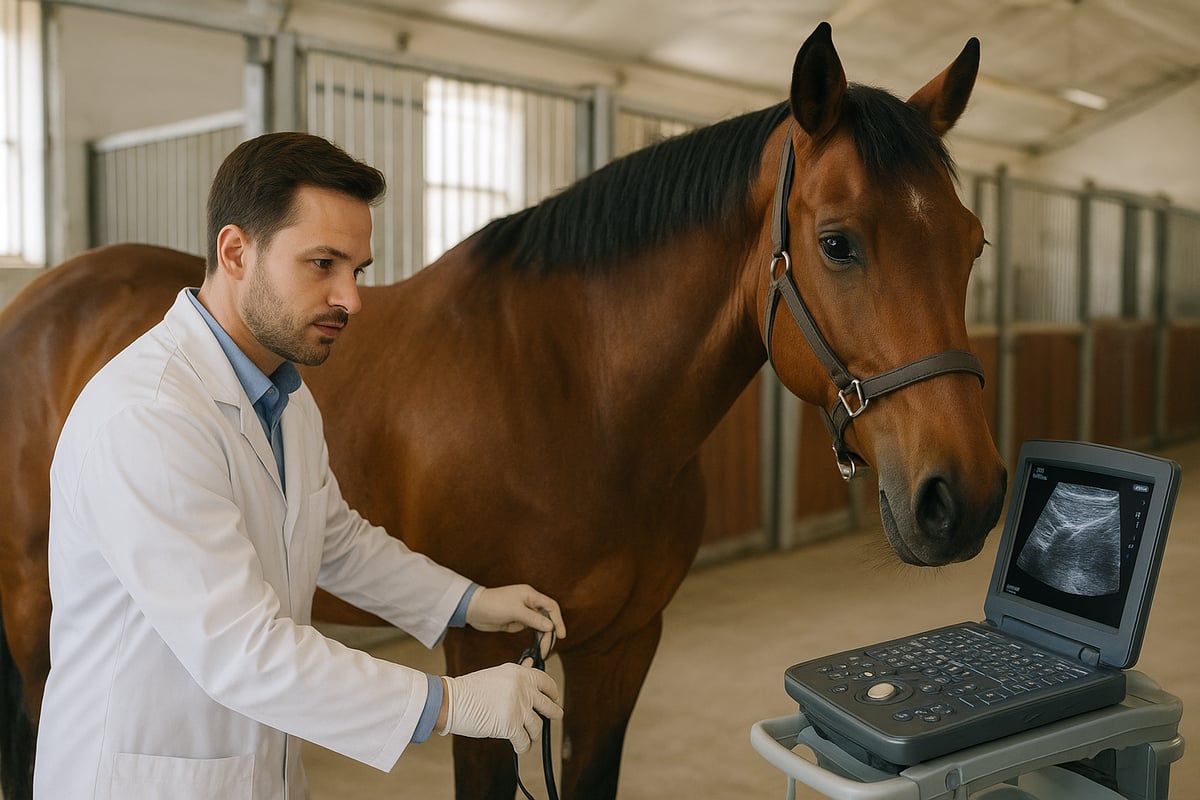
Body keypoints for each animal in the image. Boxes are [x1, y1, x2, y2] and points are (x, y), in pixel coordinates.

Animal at [0, 23, 1006, 799]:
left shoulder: (620, 647)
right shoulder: (479, 654)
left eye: (973, 243)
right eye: (837, 243)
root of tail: (40, 301)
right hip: (31, 598)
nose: (965, 499)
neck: (578, 397)